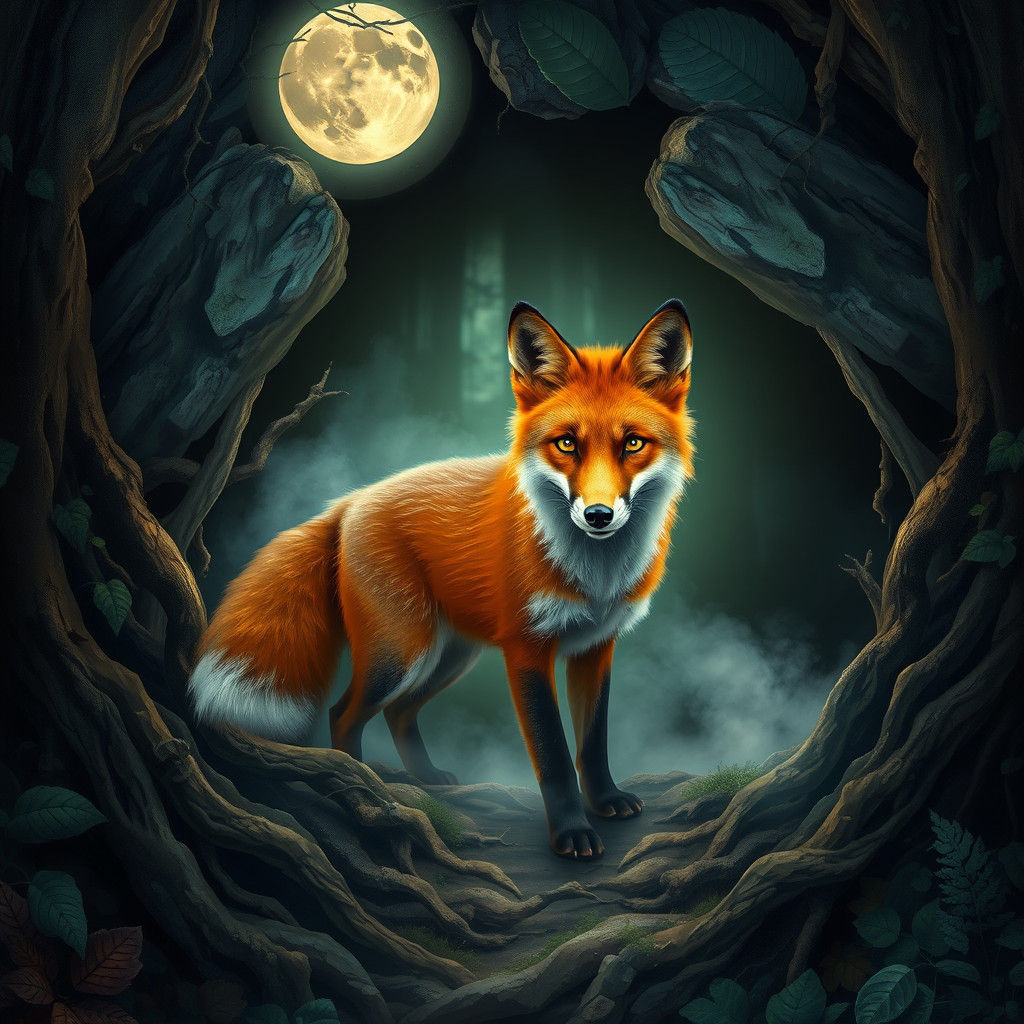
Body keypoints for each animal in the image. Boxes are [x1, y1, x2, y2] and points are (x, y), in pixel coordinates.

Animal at [189, 299, 694, 858]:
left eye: (633, 443)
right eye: (566, 444)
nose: (599, 516)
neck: (595, 576)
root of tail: (350, 501)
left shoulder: (595, 647)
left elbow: (593, 743)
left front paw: (604, 801)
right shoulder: (527, 649)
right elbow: (555, 757)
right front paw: (571, 834)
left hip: (450, 655)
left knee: (398, 713)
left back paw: (425, 777)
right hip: (401, 651)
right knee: (344, 712)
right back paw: (364, 790)